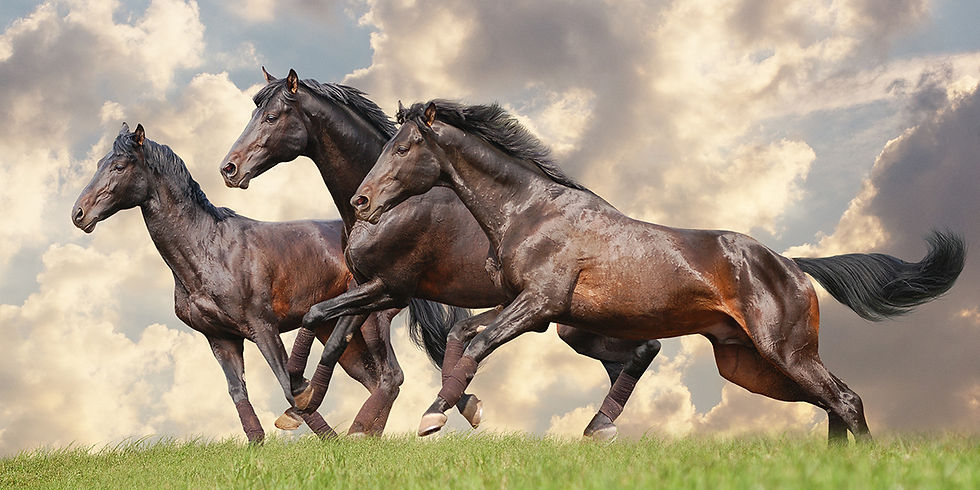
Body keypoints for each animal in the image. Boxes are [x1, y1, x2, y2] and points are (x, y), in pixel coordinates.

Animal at [71, 123, 415, 441]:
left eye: (119, 166)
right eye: (100, 162)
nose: (79, 213)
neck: (209, 248)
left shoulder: (263, 327)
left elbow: (288, 384)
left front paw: (311, 428)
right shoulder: (221, 338)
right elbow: (238, 391)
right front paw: (259, 443)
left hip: (370, 322)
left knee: (390, 377)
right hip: (337, 333)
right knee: (373, 379)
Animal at [219, 68, 662, 439]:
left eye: (272, 117)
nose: (229, 169)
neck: (398, 205)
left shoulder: (390, 290)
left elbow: (324, 322)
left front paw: (307, 399)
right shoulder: (367, 288)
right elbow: (335, 336)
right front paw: (302, 405)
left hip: (579, 323)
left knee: (645, 349)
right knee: (627, 359)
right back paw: (602, 428)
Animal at [351, 100, 966, 443]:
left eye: (403, 147)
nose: (360, 201)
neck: (532, 210)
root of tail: (792, 265)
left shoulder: (539, 306)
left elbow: (477, 344)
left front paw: (433, 419)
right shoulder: (524, 305)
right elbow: (461, 333)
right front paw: (451, 411)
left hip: (785, 353)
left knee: (847, 402)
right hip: (751, 367)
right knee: (836, 403)